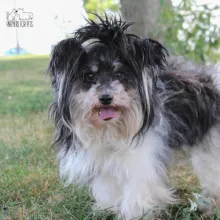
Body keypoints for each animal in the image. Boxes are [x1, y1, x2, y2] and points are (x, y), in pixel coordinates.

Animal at [49, 14, 220, 219]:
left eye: (120, 74)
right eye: (89, 75)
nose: (106, 98)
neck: (111, 128)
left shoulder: (141, 160)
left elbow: (136, 193)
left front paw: (135, 214)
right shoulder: (105, 164)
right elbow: (107, 187)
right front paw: (108, 208)